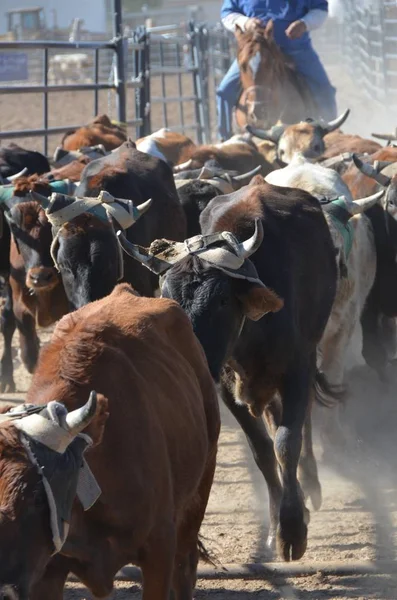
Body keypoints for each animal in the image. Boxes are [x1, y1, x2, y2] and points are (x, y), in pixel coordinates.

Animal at [0, 284, 220, 600]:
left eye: (36, 497)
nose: (3, 589)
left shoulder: (160, 547)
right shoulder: (47, 573)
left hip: (198, 492)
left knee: (185, 568)